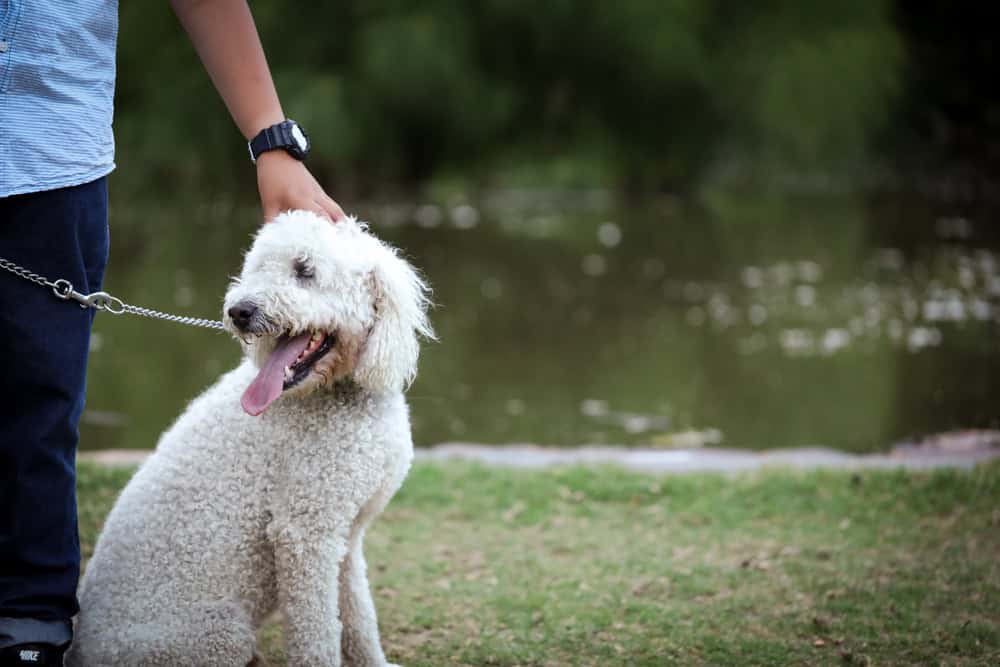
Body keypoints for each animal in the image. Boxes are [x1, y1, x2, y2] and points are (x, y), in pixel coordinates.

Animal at [65, 210, 434, 667]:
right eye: (258, 267)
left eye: (304, 270)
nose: (239, 310)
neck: (335, 394)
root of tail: (80, 649)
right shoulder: (304, 533)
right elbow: (317, 632)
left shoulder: (345, 535)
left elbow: (358, 617)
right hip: (220, 634)